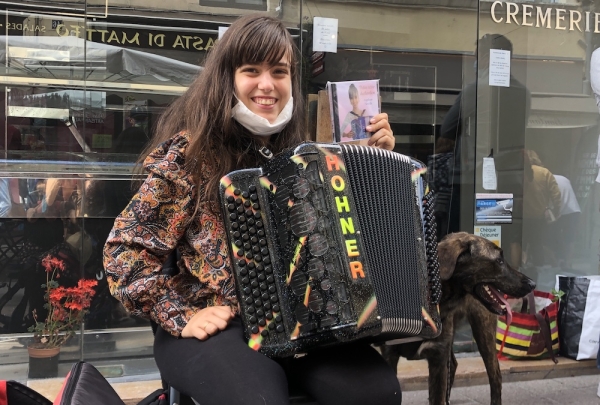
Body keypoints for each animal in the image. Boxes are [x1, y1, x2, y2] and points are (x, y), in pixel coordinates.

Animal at [380, 232, 536, 404]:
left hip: (483, 332)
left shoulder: (438, 358)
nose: (533, 284)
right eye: (499, 260)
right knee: (454, 365)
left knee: (495, 376)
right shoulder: (390, 355)